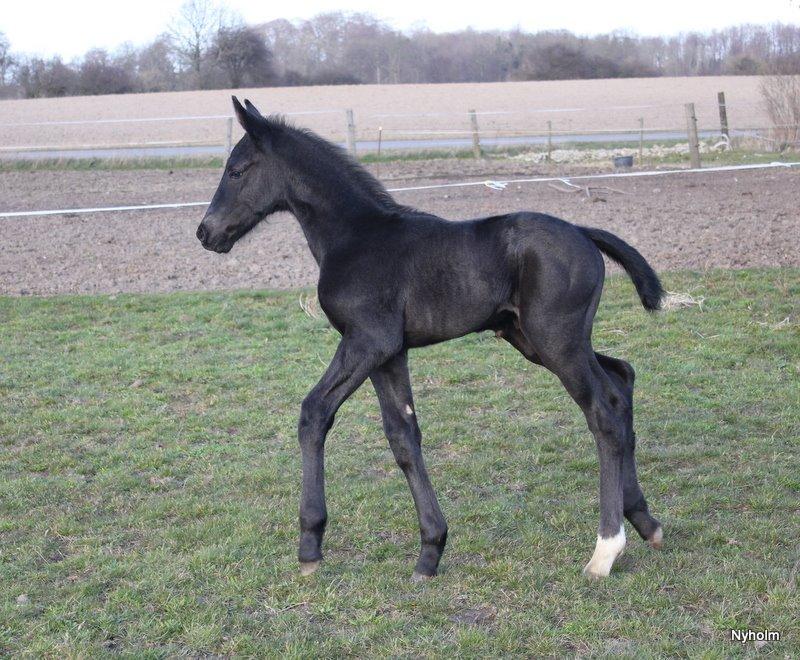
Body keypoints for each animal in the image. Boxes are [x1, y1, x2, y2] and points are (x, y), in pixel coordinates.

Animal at [197, 96, 664, 576]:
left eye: (237, 170)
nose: (205, 232)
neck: (355, 236)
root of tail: (584, 233)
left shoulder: (367, 341)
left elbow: (314, 413)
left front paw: (310, 544)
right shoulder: (388, 353)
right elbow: (403, 435)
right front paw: (430, 549)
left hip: (557, 341)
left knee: (603, 411)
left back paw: (605, 549)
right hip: (538, 340)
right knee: (621, 380)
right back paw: (644, 521)